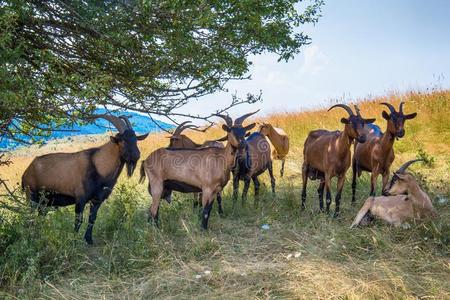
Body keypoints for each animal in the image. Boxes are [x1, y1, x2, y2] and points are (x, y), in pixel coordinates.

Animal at [22, 115, 149, 244]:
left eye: (136, 139)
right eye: (122, 140)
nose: (136, 156)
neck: (98, 166)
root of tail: (27, 172)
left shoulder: (97, 199)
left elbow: (92, 219)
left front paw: (89, 240)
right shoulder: (80, 198)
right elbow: (78, 220)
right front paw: (73, 241)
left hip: (44, 201)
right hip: (31, 195)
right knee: (29, 215)